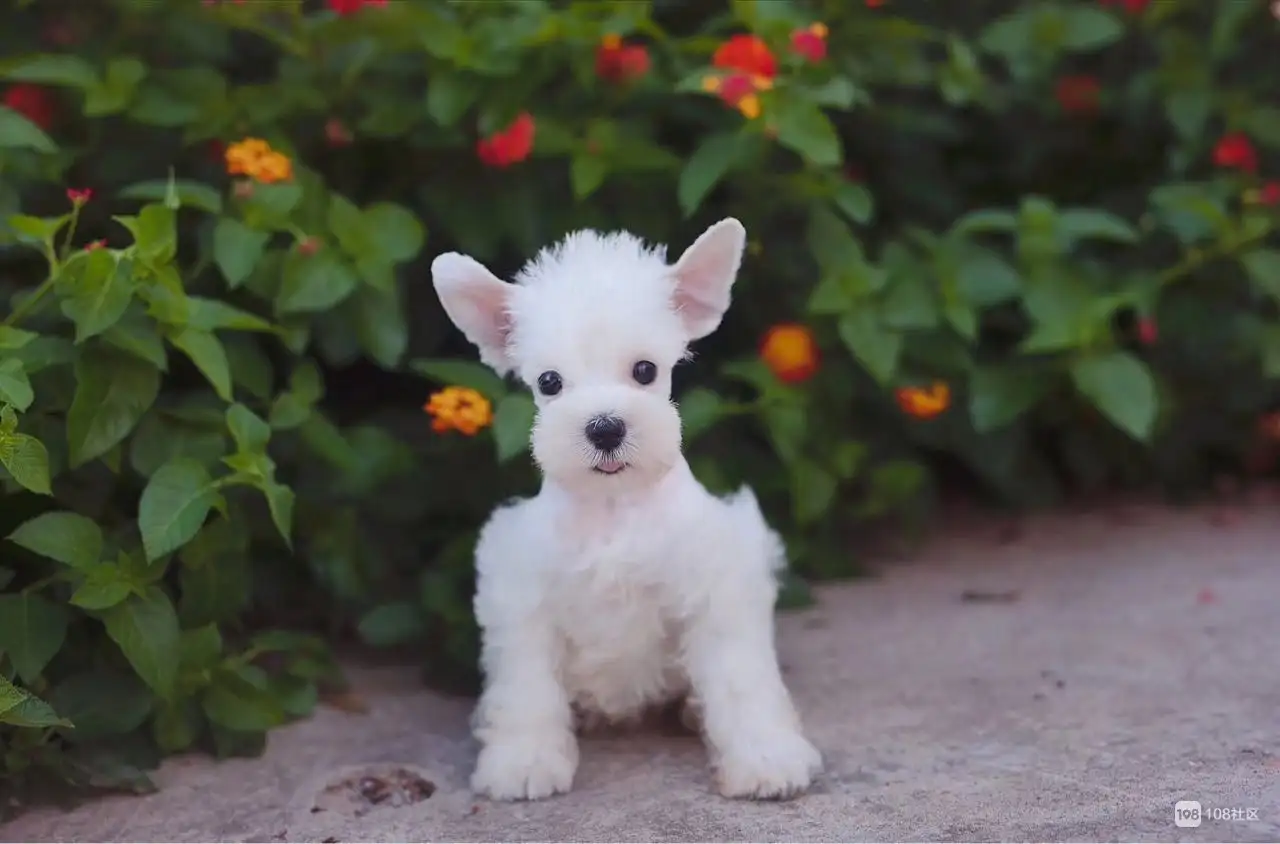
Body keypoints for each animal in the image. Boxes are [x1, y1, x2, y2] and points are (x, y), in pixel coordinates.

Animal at [430, 217, 819, 799]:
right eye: (549, 382)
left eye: (644, 370)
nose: (606, 427)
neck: (613, 510)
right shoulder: (524, 602)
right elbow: (527, 688)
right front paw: (524, 759)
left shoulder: (717, 592)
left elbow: (740, 680)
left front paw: (765, 756)